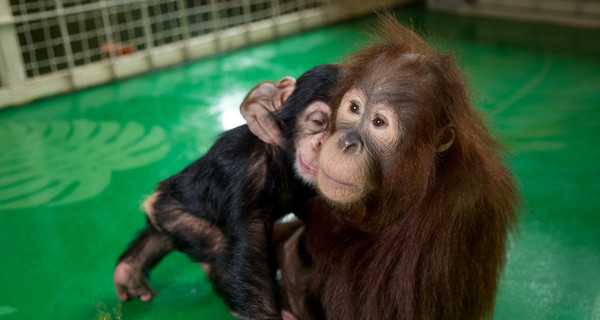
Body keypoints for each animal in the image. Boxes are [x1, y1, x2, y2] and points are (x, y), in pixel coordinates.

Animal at [112, 63, 342, 318]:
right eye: (318, 122)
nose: (323, 147)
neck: (285, 159)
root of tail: (154, 199)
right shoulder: (246, 167)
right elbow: (250, 254)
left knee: (159, 237)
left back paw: (128, 273)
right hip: (172, 211)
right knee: (218, 246)